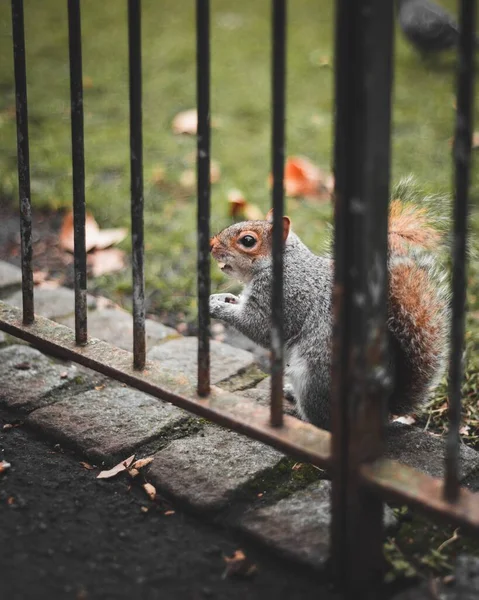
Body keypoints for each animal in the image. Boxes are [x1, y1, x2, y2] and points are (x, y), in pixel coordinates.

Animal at [210, 202, 450, 432]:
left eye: (248, 241)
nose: (212, 245)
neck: (284, 263)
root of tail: (384, 413)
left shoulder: (286, 295)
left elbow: (261, 328)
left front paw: (217, 308)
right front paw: (221, 298)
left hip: (314, 380)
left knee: (323, 423)